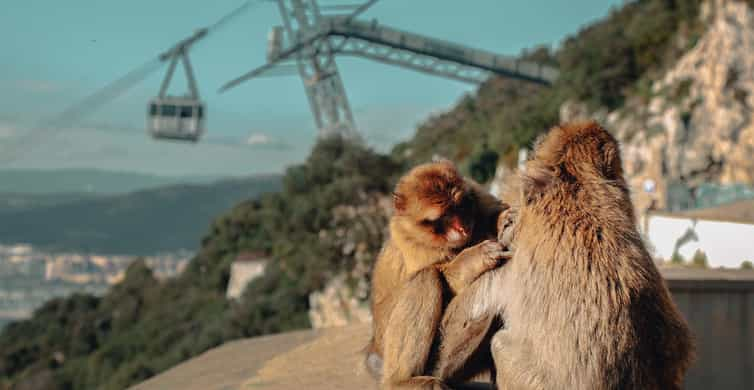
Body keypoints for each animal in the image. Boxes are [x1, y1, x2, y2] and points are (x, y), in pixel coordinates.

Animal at [362, 160, 506, 388]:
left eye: (459, 206)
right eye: (444, 216)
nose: (462, 228)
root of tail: (373, 347)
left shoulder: (475, 192)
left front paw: (504, 218)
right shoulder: (410, 242)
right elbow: (443, 277)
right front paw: (476, 256)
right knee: (425, 279)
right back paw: (401, 380)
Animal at [432, 122, 692, 390]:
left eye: (509, 225)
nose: (504, 227)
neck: (577, 197)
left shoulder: (508, 261)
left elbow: (445, 353)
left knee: (500, 344)